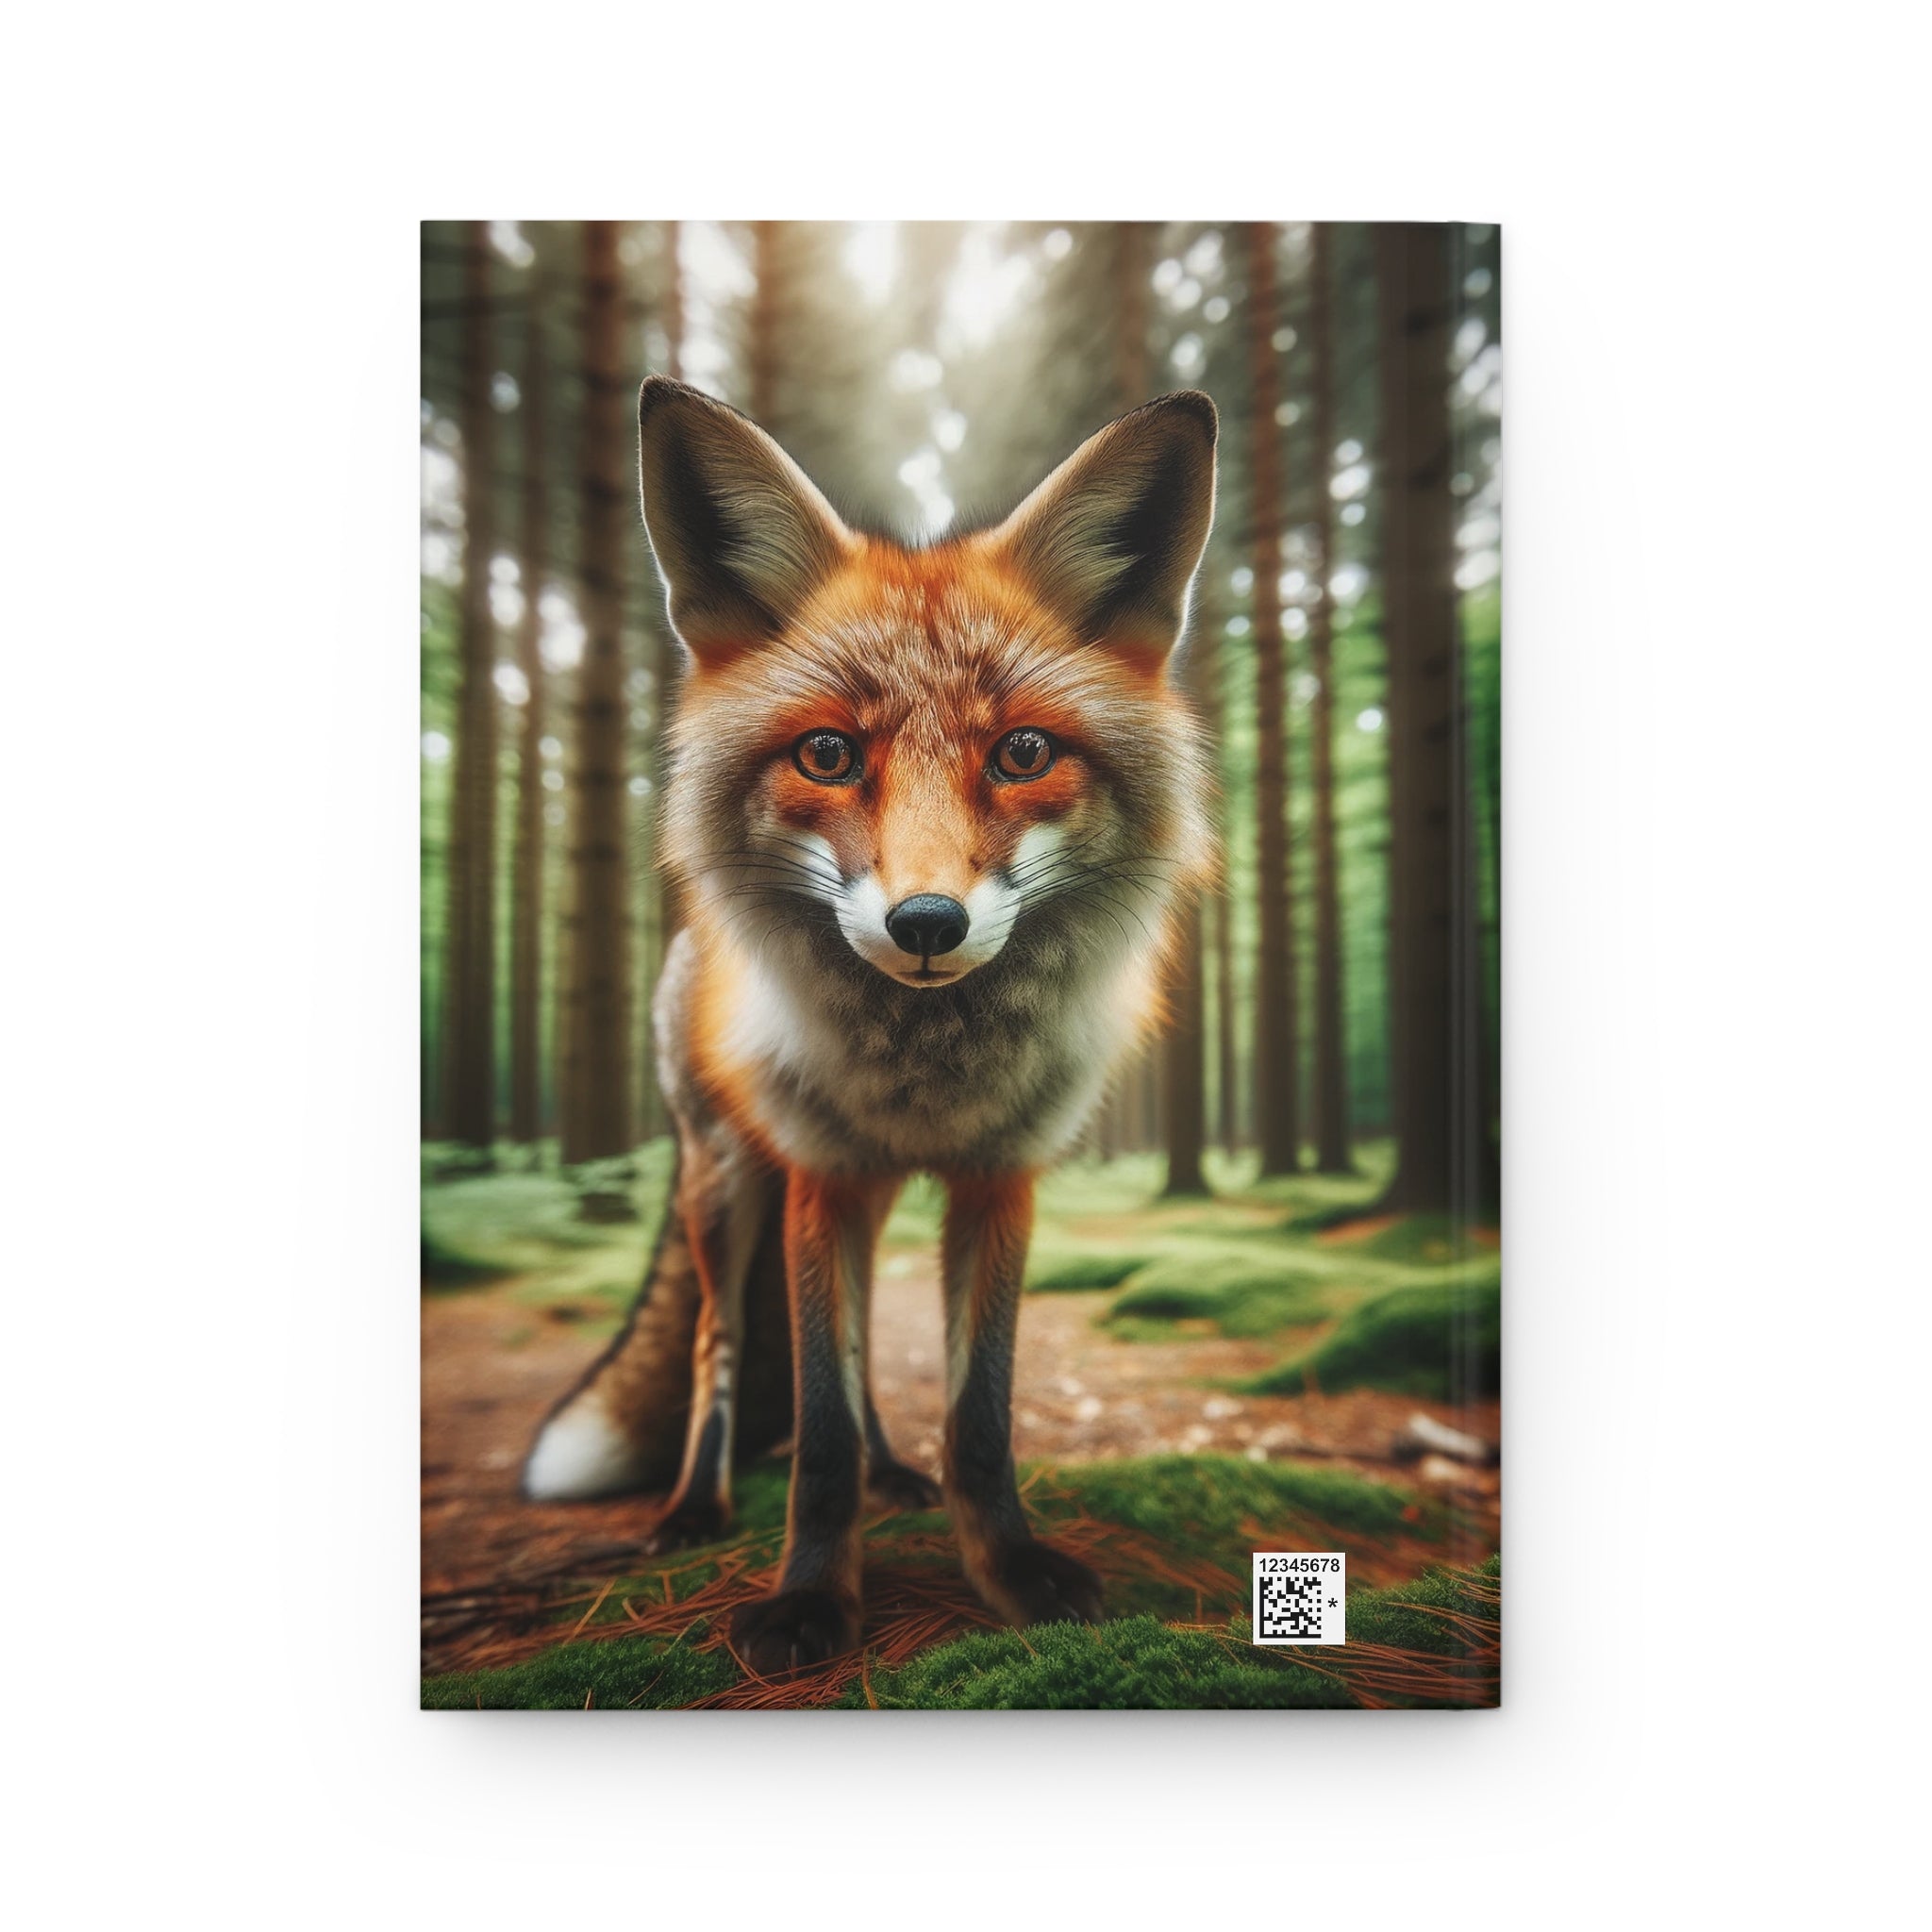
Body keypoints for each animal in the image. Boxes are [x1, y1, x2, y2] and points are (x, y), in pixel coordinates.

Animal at [523, 375, 1217, 1672]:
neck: (924, 1075)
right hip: (725, 1179)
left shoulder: (996, 1177)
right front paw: (809, 1597)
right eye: (828, 753)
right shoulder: (822, 1174)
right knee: (721, 1344)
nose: (927, 921)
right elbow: (820, 1425)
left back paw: (899, 1474)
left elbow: (974, 1411)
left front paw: (1007, 1570)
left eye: (1023, 751)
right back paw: (692, 1506)